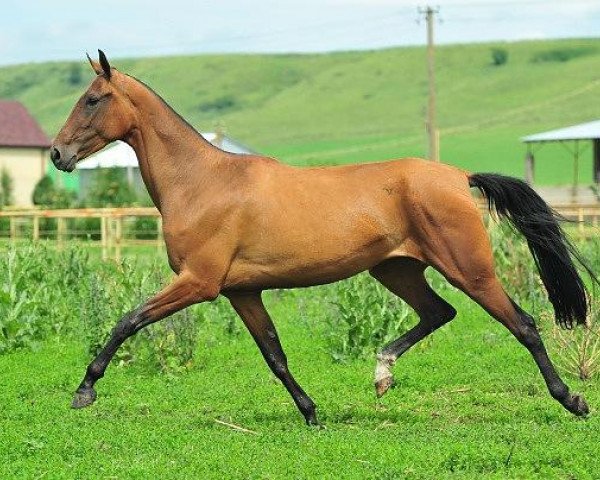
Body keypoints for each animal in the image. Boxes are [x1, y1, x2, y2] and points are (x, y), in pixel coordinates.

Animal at [52, 51, 596, 424]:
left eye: (93, 100)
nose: (58, 154)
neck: (201, 183)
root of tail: (458, 176)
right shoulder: (242, 291)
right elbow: (274, 354)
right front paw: (311, 413)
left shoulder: (199, 283)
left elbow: (128, 321)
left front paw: (84, 390)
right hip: (395, 269)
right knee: (439, 313)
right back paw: (381, 374)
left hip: (469, 269)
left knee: (524, 324)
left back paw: (572, 400)